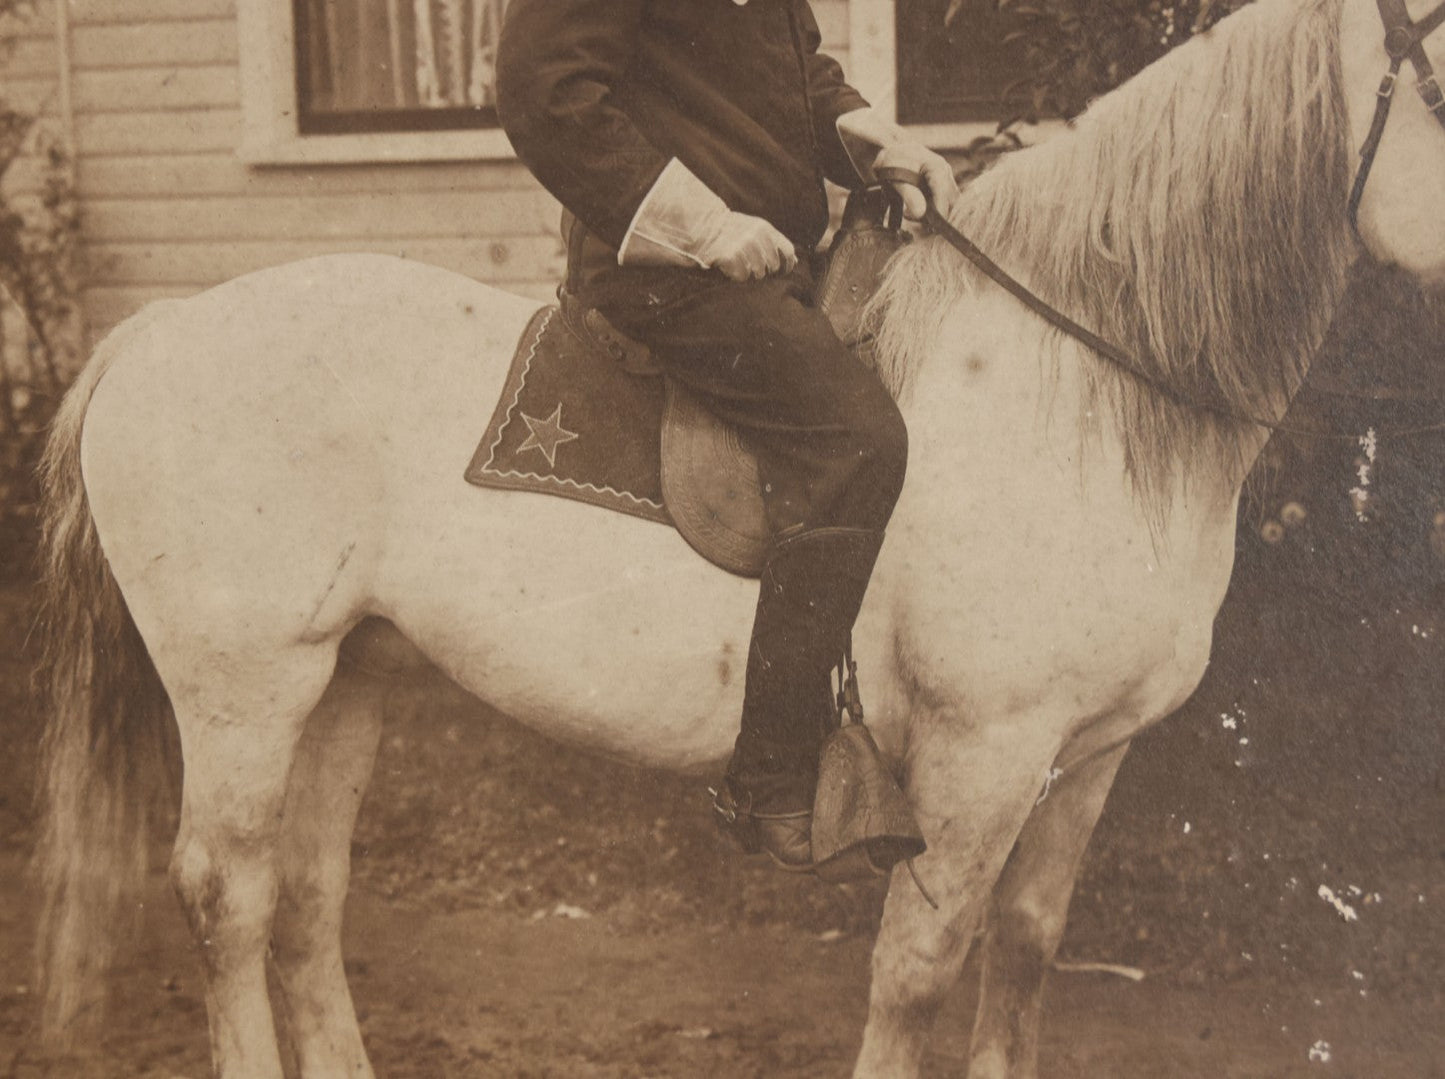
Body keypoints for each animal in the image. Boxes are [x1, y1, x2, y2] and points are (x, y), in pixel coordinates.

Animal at [29, 0, 1445, 1073]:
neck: (1069, 381)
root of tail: (161, 328)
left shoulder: (1086, 757)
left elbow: (1025, 956)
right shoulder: (979, 761)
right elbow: (916, 973)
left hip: (348, 677)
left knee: (307, 896)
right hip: (243, 689)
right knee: (227, 895)